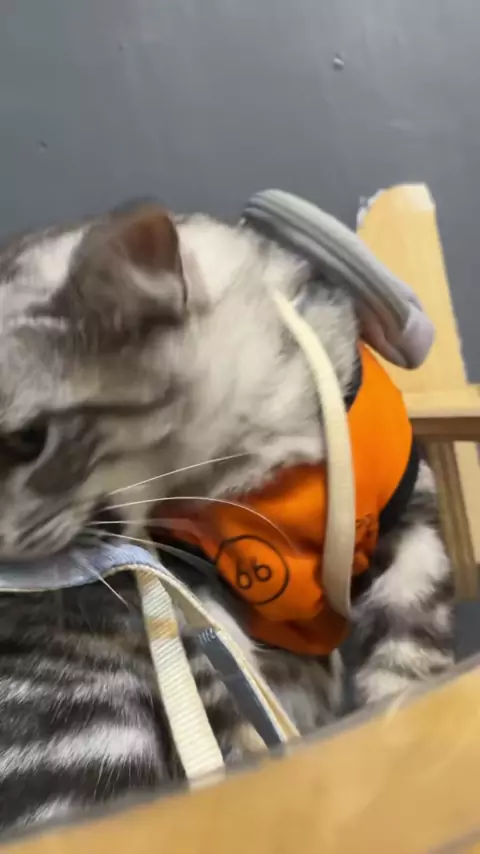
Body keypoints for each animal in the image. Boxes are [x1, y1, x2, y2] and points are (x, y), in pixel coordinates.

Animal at [0, 204, 453, 834]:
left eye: (28, 440)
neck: (250, 463)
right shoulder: (198, 596)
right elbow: (243, 722)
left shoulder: (411, 523)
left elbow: (408, 655)